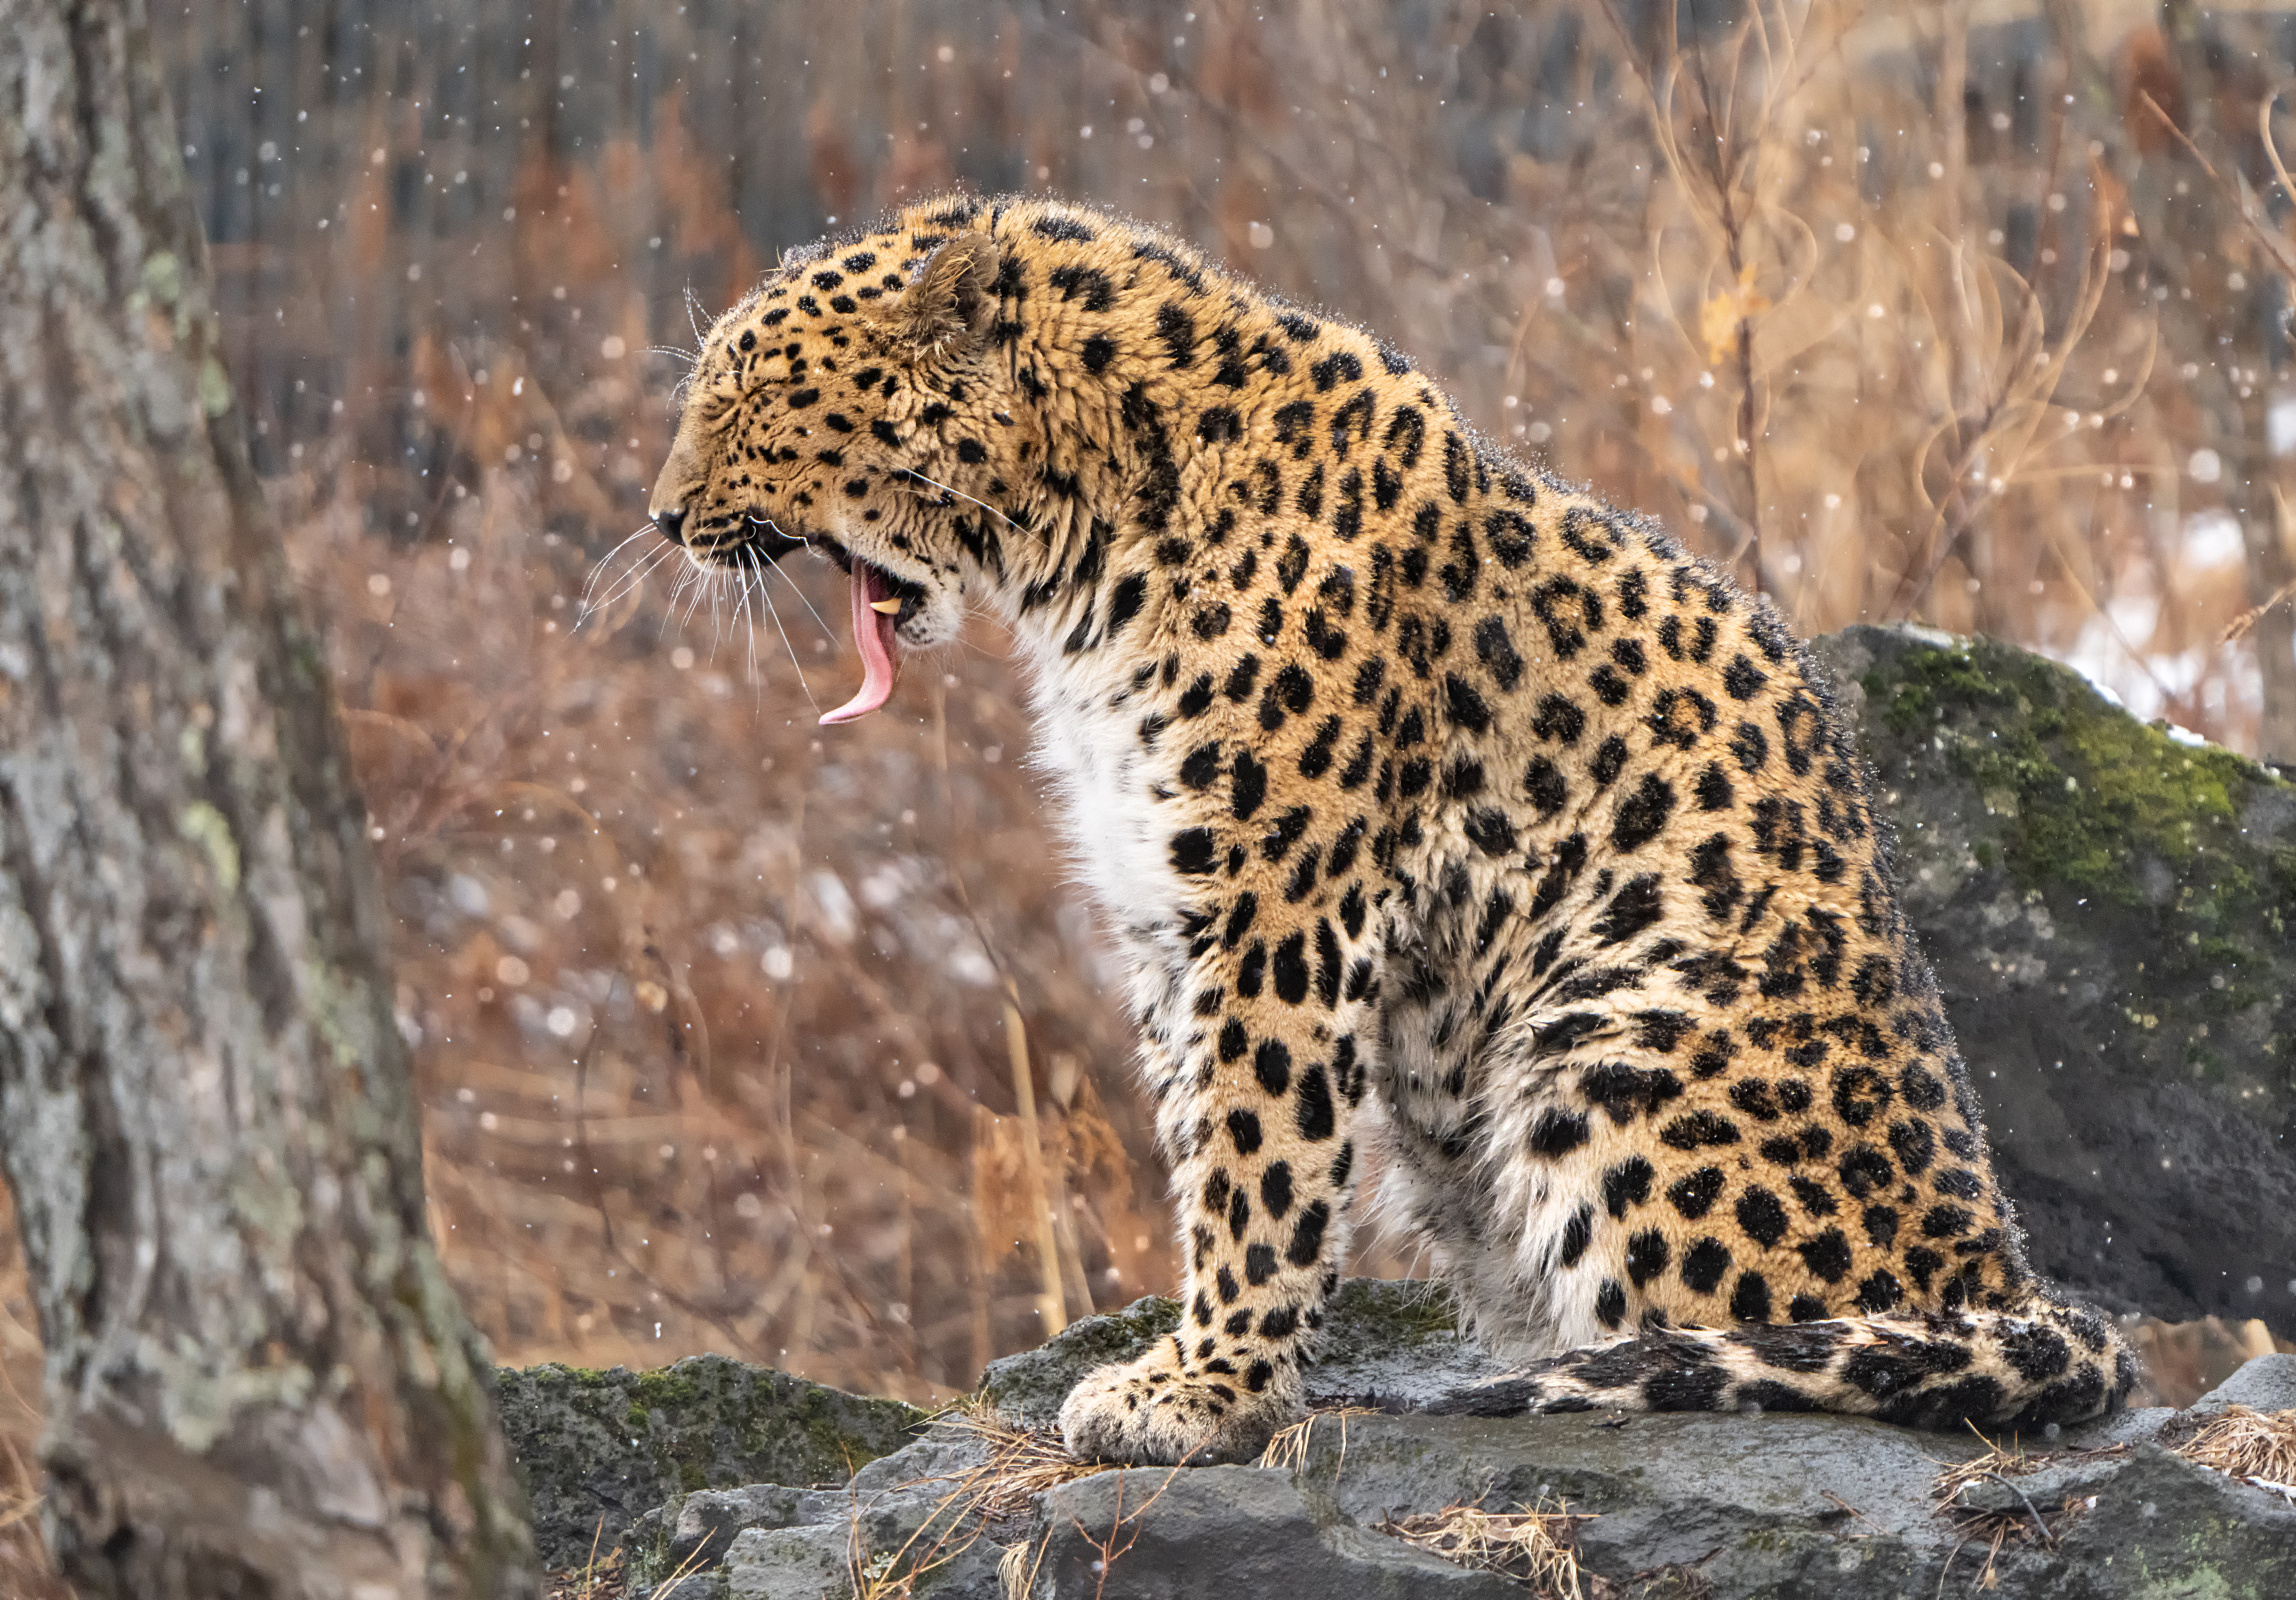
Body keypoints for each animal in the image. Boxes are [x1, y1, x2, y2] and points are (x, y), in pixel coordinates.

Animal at [642, 193, 2130, 1469]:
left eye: (744, 395)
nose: (660, 517)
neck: (1084, 553)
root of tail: (2005, 1270)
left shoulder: (1281, 901)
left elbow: (1258, 1150)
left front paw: (1205, 1392)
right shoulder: (1165, 914)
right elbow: (1201, 1134)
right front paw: (1201, 1362)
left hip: (1603, 1041)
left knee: (1754, 1335)